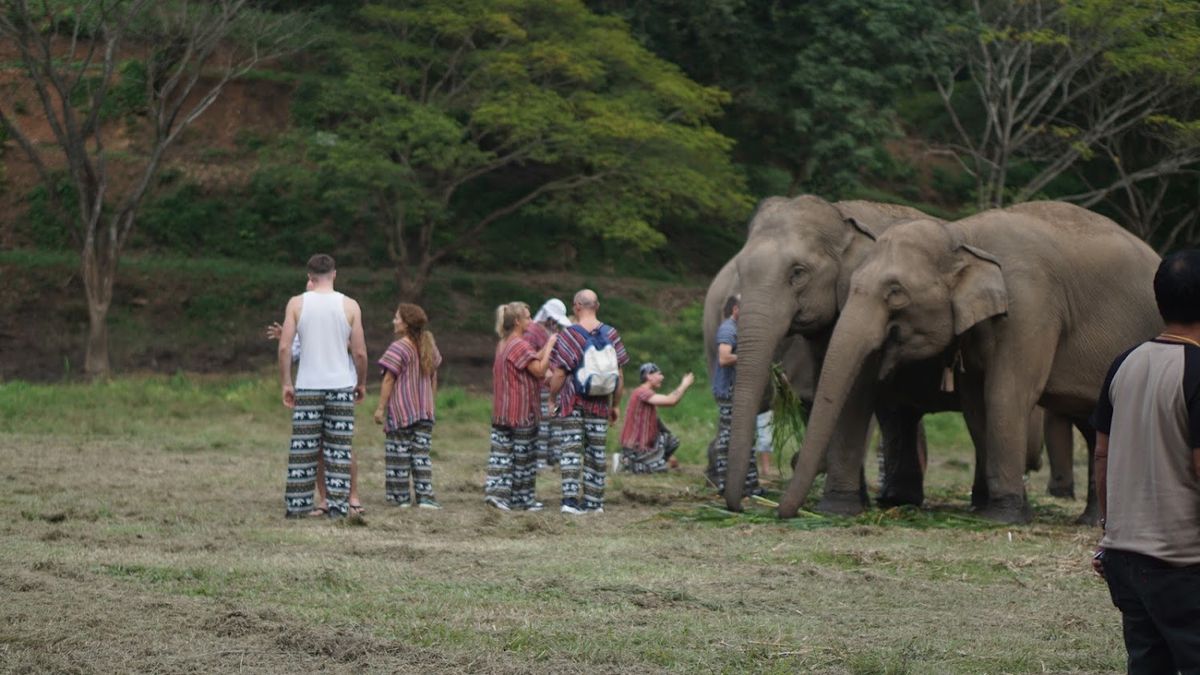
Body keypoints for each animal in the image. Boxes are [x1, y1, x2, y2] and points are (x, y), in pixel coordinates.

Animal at [777, 201, 1162, 523]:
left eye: (895, 292)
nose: (782, 513)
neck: (962, 237)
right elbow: (977, 404)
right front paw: (998, 508)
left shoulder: (1030, 305)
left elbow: (1006, 394)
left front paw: (1004, 517)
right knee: (1094, 423)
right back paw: (1092, 521)